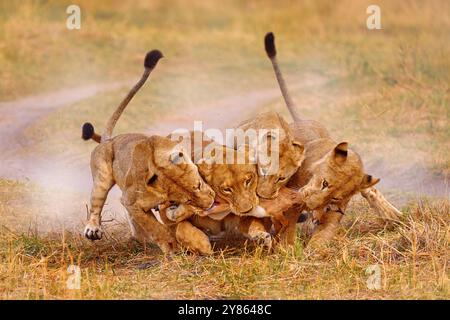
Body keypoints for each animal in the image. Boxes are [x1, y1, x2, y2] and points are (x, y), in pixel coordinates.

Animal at [81, 50, 216, 254]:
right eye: (186, 201)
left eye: (198, 185)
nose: (210, 204)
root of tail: (109, 139)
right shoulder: (132, 201)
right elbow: (153, 226)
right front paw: (170, 246)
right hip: (102, 178)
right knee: (97, 204)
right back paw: (94, 230)